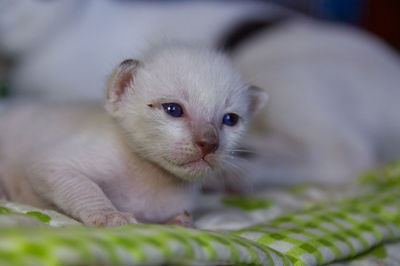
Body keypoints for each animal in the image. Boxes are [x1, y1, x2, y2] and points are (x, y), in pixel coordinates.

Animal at [0, 45, 268, 227]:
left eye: (230, 119)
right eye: (173, 110)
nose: (209, 144)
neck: (153, 179)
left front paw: (180, 222)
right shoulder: (49, 163)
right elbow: (84, 187)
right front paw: (110, 215)